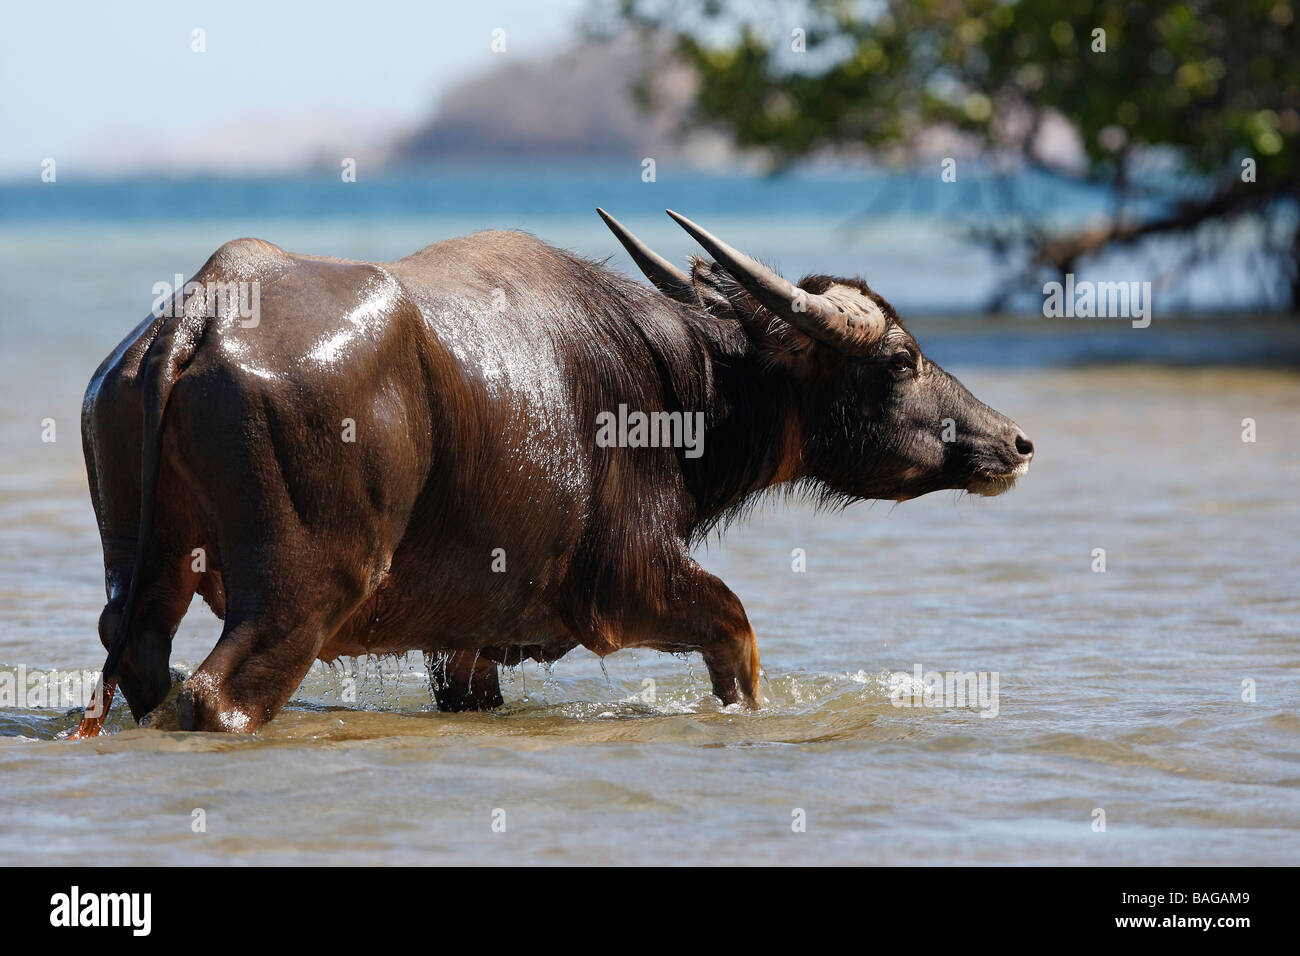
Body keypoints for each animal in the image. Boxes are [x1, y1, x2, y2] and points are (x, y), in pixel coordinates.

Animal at [71, 208, 1029, 733]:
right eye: (901, 358)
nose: (1014, 442)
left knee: (143, 662)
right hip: (299, 593)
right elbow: (739, 645)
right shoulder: (629, 587)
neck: (673, 389)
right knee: (215, 695)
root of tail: (201, 307)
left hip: (145, 570)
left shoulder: (462, 642)